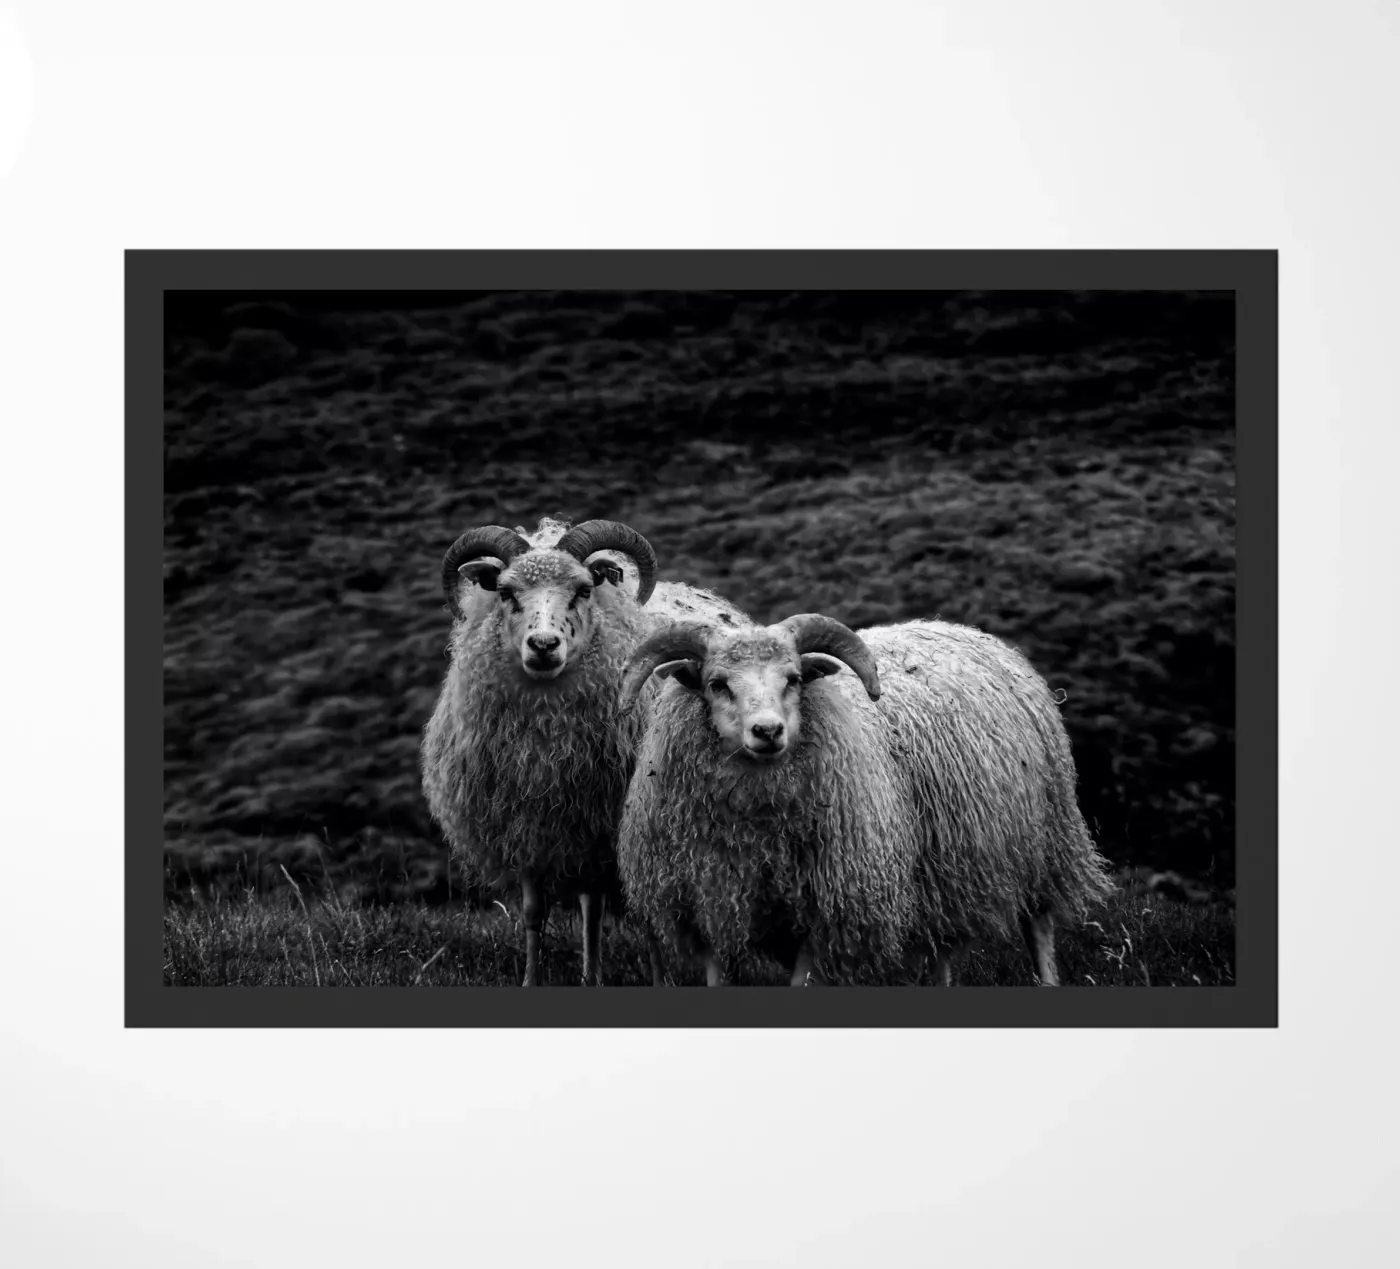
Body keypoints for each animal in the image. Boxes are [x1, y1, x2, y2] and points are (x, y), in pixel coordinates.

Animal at [420, 515, 747, 987]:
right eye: (505, 592)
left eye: (583, 590)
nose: (543, 645)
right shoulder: (527, 827)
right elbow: (533, 913)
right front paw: (531, 979)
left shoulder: (602, 824)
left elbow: (606, 912)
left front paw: (604, 979)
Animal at [615, 613, 1115, 987]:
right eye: (717, 683)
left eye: (794, 679)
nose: (768, 731)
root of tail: (969, 631)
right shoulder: (707, 903)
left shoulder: (825, 908)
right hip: (944, 868)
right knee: (941, 947)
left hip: (1046, 840)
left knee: (1040, 926)